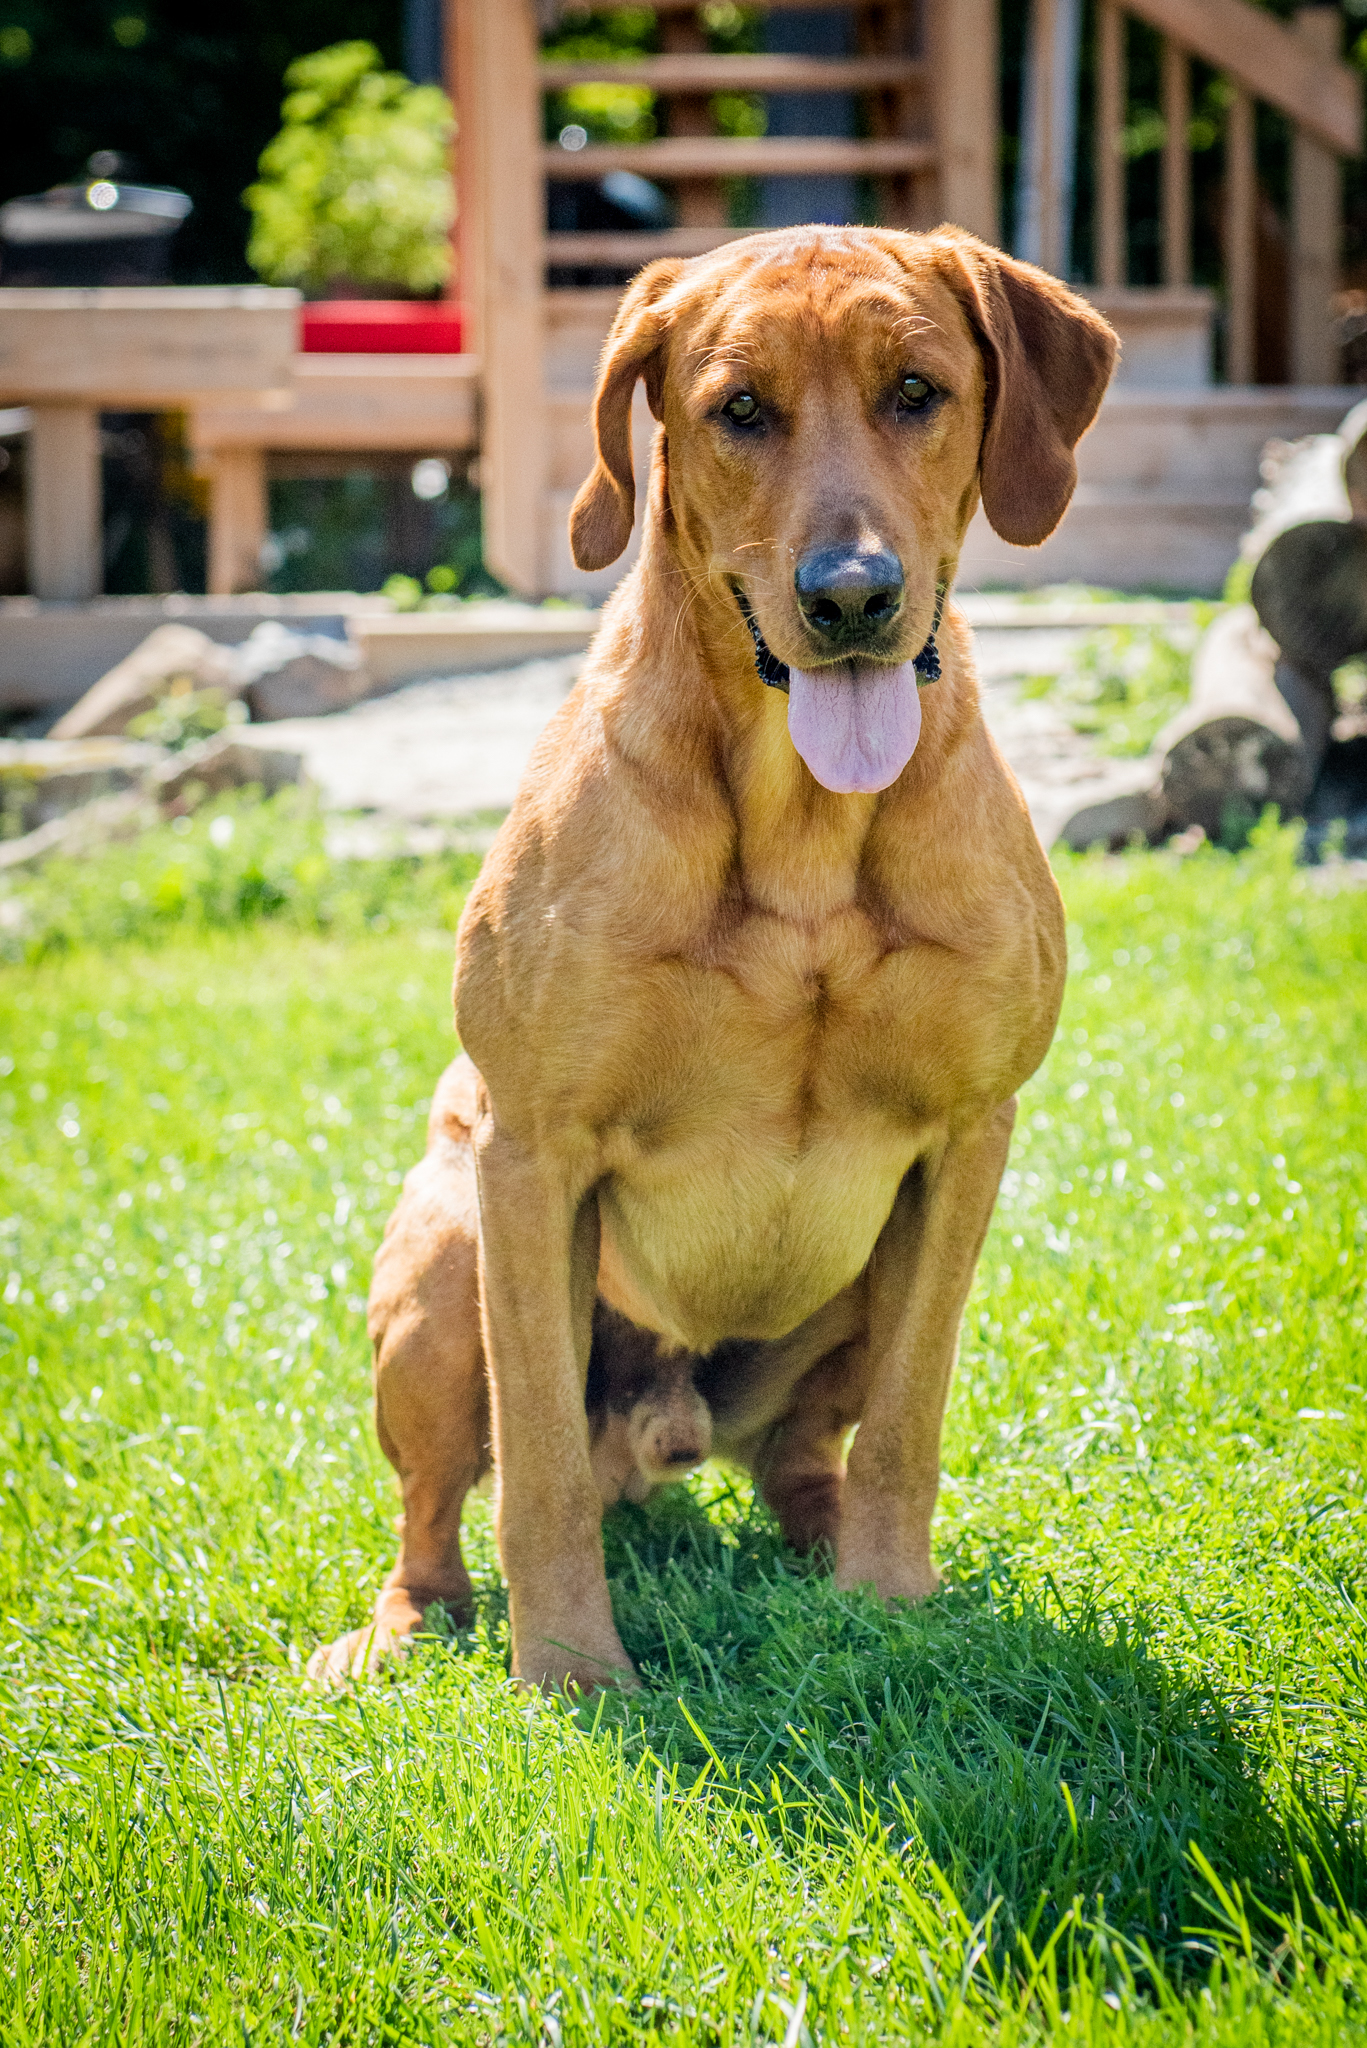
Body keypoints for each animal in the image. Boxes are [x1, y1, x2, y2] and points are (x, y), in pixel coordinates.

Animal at [307, 228, 1114, 1695]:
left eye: (915, 391)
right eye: (737, 409)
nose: (849, 596)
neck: (803, 829)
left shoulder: (967, 1140)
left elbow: (908, 1424)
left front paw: (891, 1606)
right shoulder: (530, 1152)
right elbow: (539, 1474)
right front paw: (570, 1671)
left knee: (806, 1456)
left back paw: (830, 1565)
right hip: (444, 1259)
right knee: (441, 1510)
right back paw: (401, 1627)